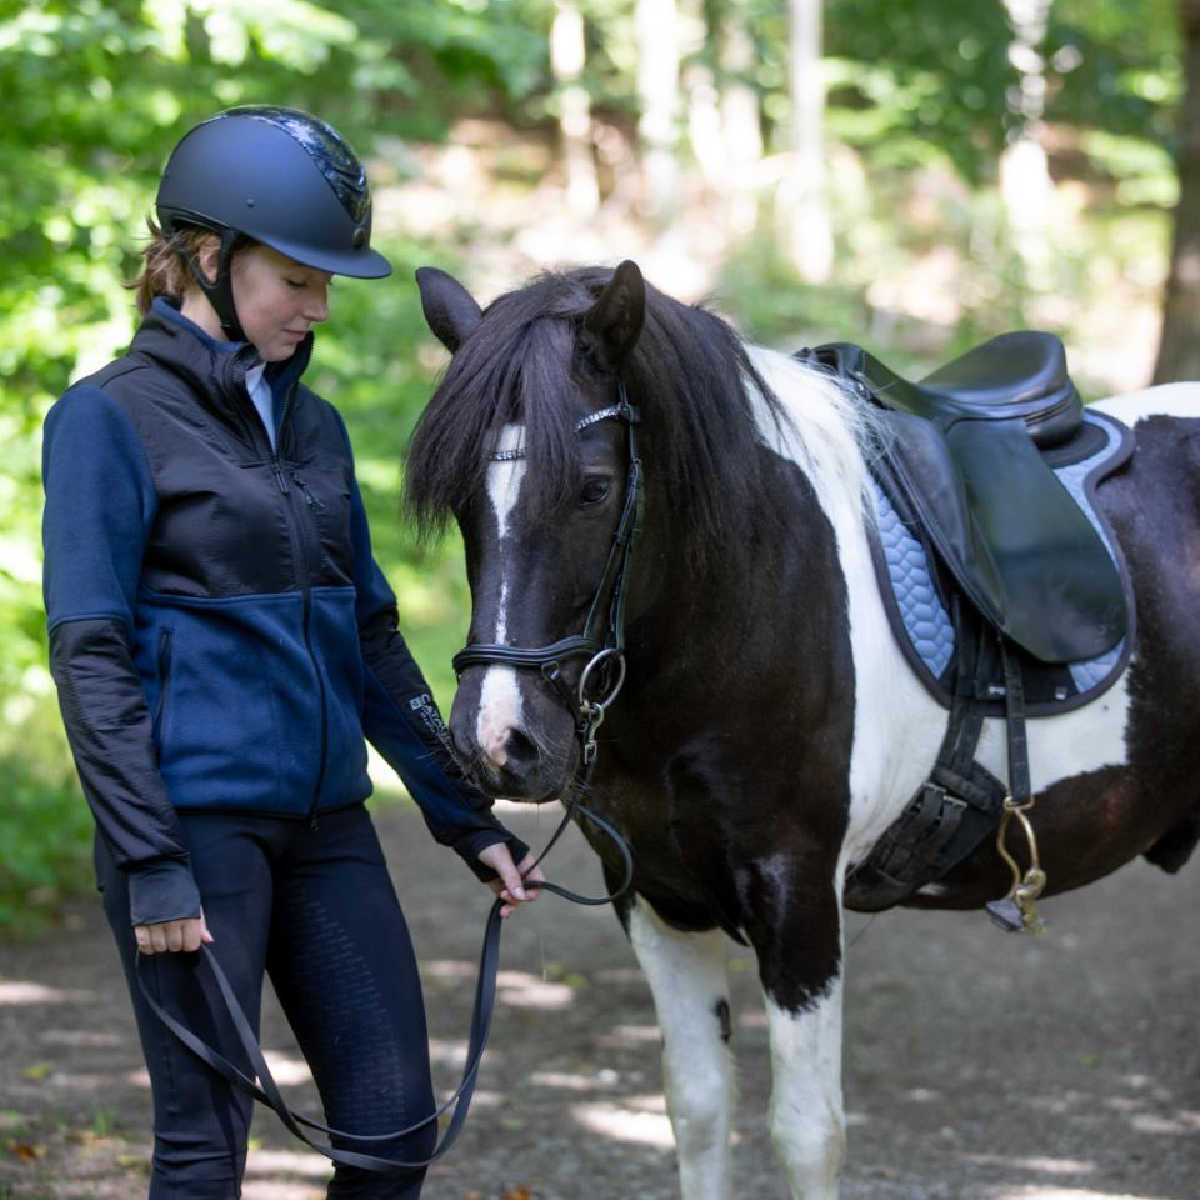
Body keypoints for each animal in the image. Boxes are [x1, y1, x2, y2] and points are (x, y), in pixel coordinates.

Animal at [405, 258, 1200, 1195]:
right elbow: (699, 1108)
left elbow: (806, 1133)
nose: (497, 742)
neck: (747, 605)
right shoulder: (655, 899)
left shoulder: (799, 898)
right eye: (461, 498)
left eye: (593, 488)